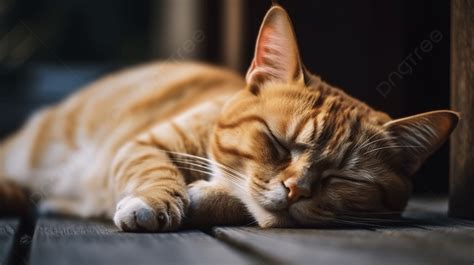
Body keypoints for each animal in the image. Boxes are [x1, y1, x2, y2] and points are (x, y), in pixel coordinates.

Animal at [0, 5, 460, 230]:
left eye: (343, 178)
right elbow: (156, 172)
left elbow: (235, 201)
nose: (296, 190)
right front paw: (156, 201)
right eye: (277, 143)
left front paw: (205, 197)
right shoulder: (143, 146)